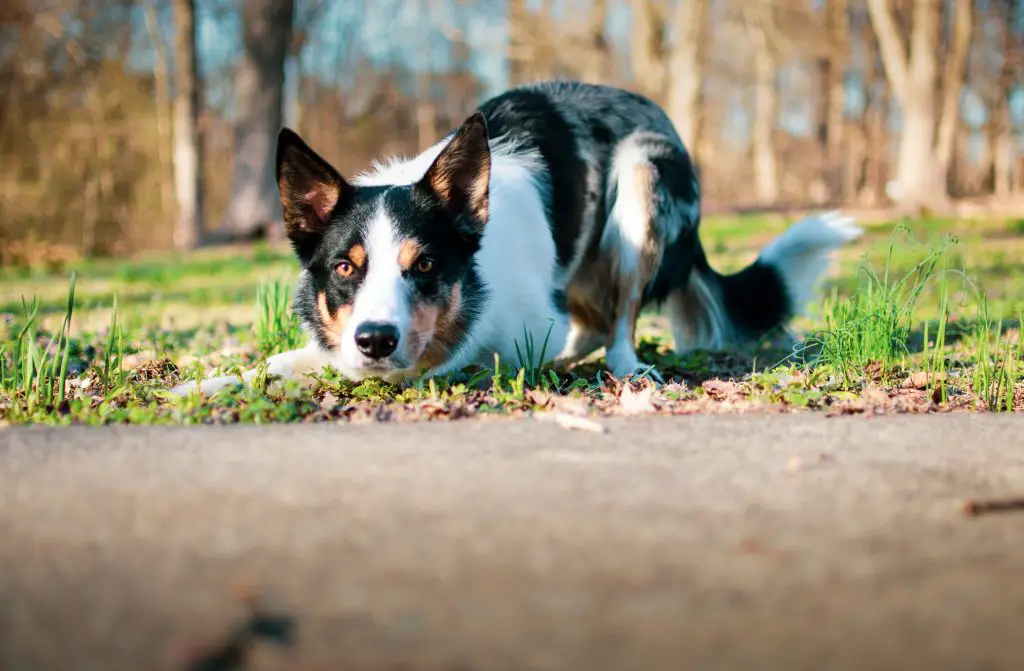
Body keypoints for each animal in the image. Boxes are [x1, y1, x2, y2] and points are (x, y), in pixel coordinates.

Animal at [172, 80, 860, 395]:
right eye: (345, 268)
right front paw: (210, 382)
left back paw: (623, 365)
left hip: (642, 179)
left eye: (425, 266)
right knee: (590, 324)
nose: (375, 340)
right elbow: (282, 362)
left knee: (619, 322)